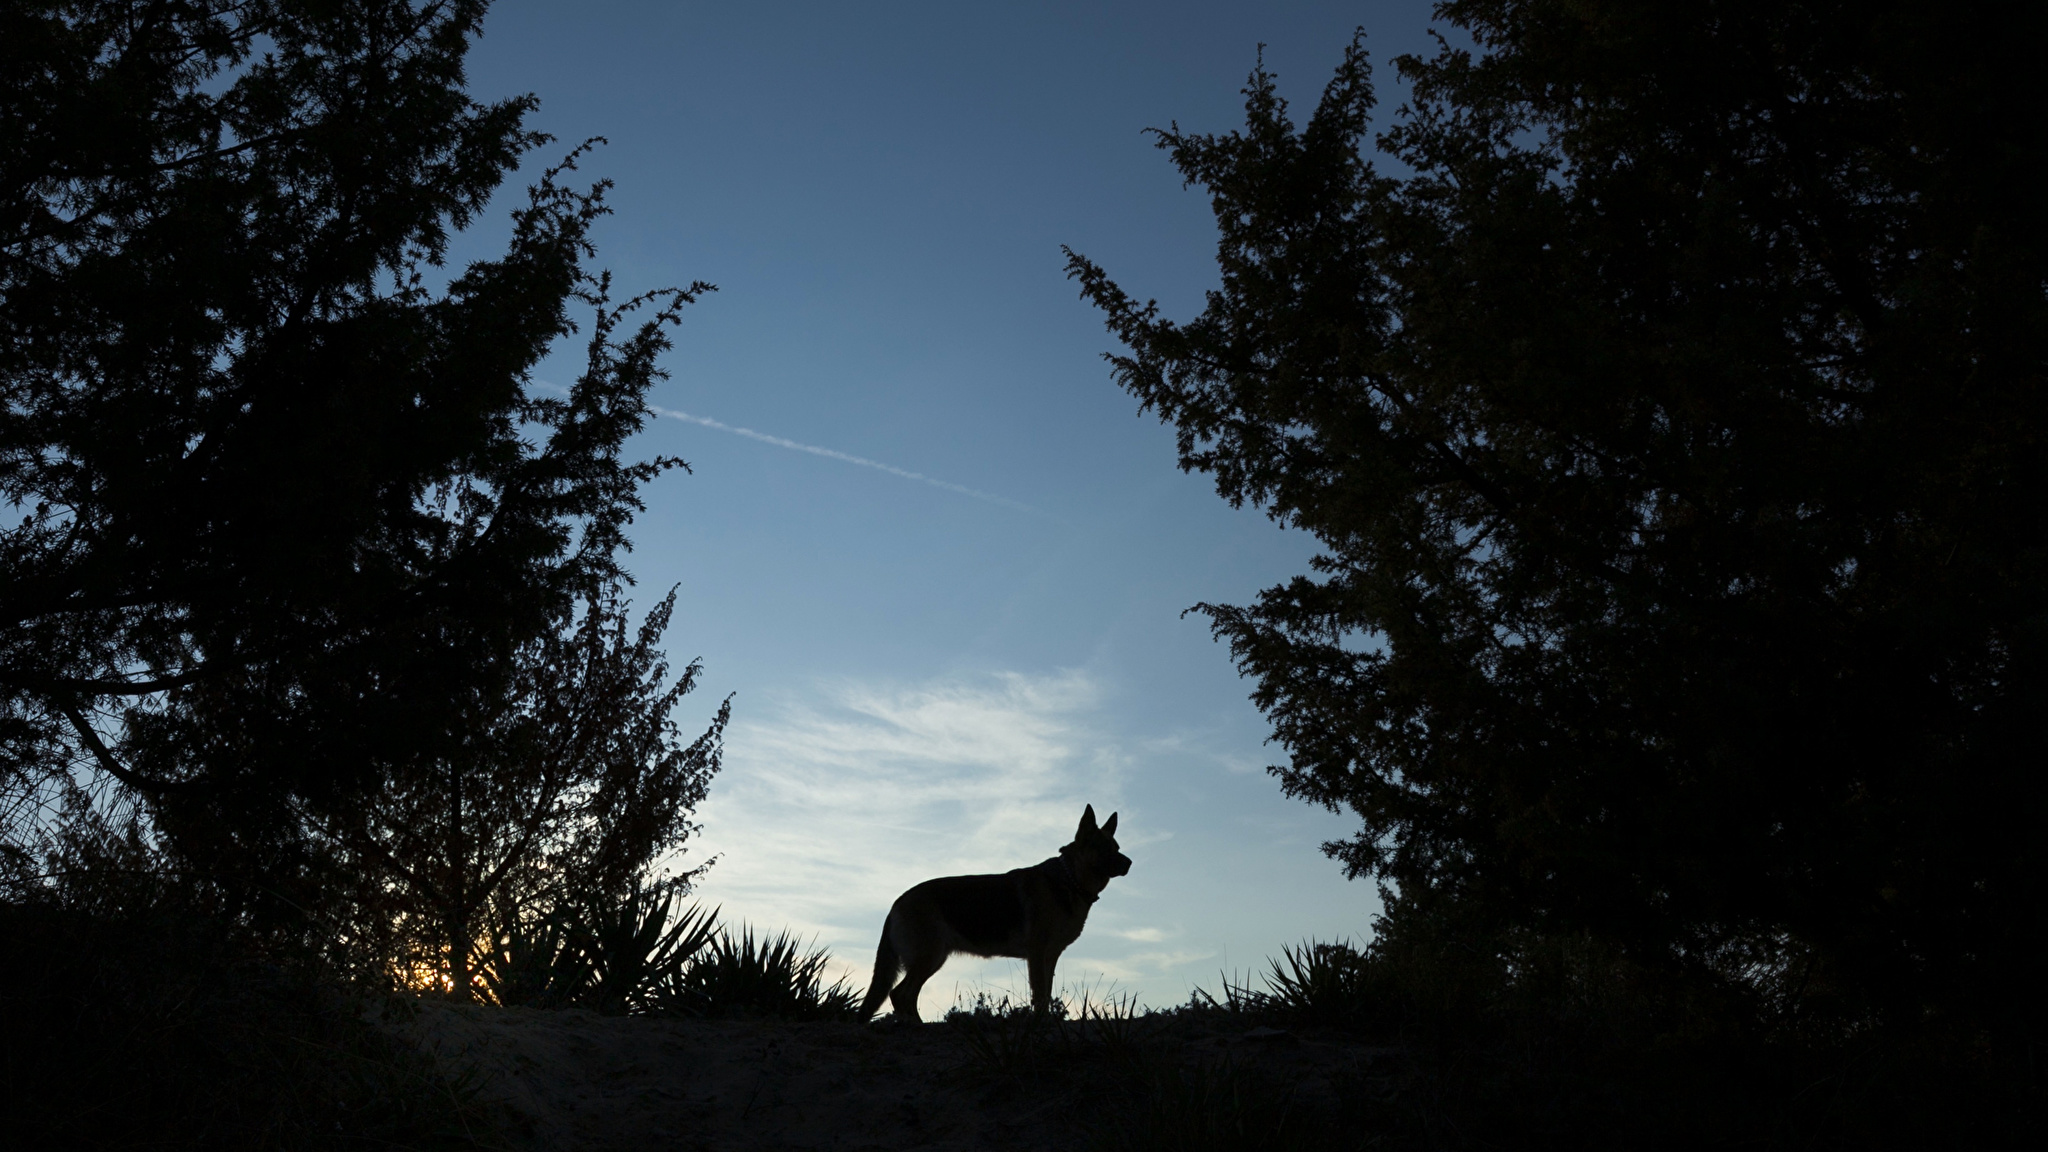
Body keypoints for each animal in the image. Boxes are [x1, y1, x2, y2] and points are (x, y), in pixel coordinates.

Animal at [856, 803, 1130, 1016]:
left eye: (1116, 847)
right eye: (1104, 848)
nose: (1129, 863)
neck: (1068, 879)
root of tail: (896, 903)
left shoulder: (1050, 956)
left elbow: (1046, 994)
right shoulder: (1037, 953)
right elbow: (1040, 996)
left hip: (933, 958)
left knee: (905, 995)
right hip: (929, 956)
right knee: (900, 994)